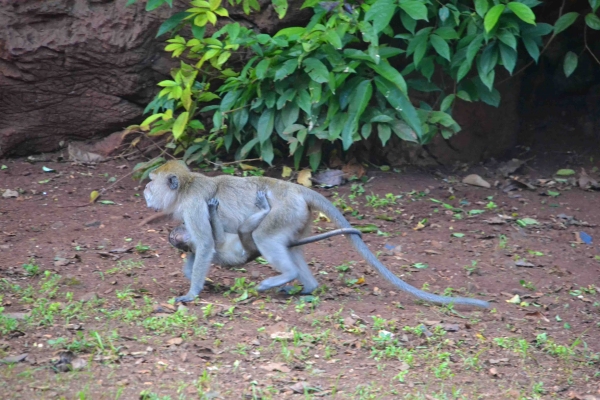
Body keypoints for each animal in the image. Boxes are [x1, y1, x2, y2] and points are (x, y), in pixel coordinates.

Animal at [169, 191, 358, 272]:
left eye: (183, 224)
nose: (184, 224)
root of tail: (256, 252)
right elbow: (219, 240)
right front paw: (212, 210)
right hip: (250, 244)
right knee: (243, 230)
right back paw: (266, 209)